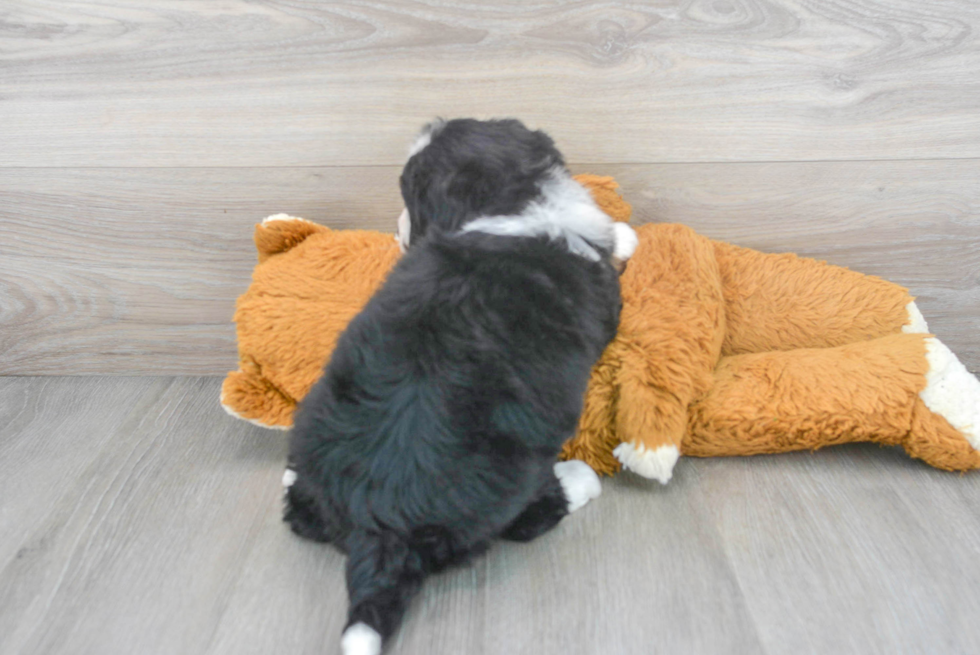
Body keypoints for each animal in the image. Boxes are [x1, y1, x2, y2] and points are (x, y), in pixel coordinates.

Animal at [284, 119, 636, 655]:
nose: (399, 227)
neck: (509, 200)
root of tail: (377, 524)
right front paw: (626, 234)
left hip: (313, 425)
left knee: (300, 512)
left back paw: (291, 483)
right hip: (506, 483)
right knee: (528, 518)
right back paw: (580, 480)